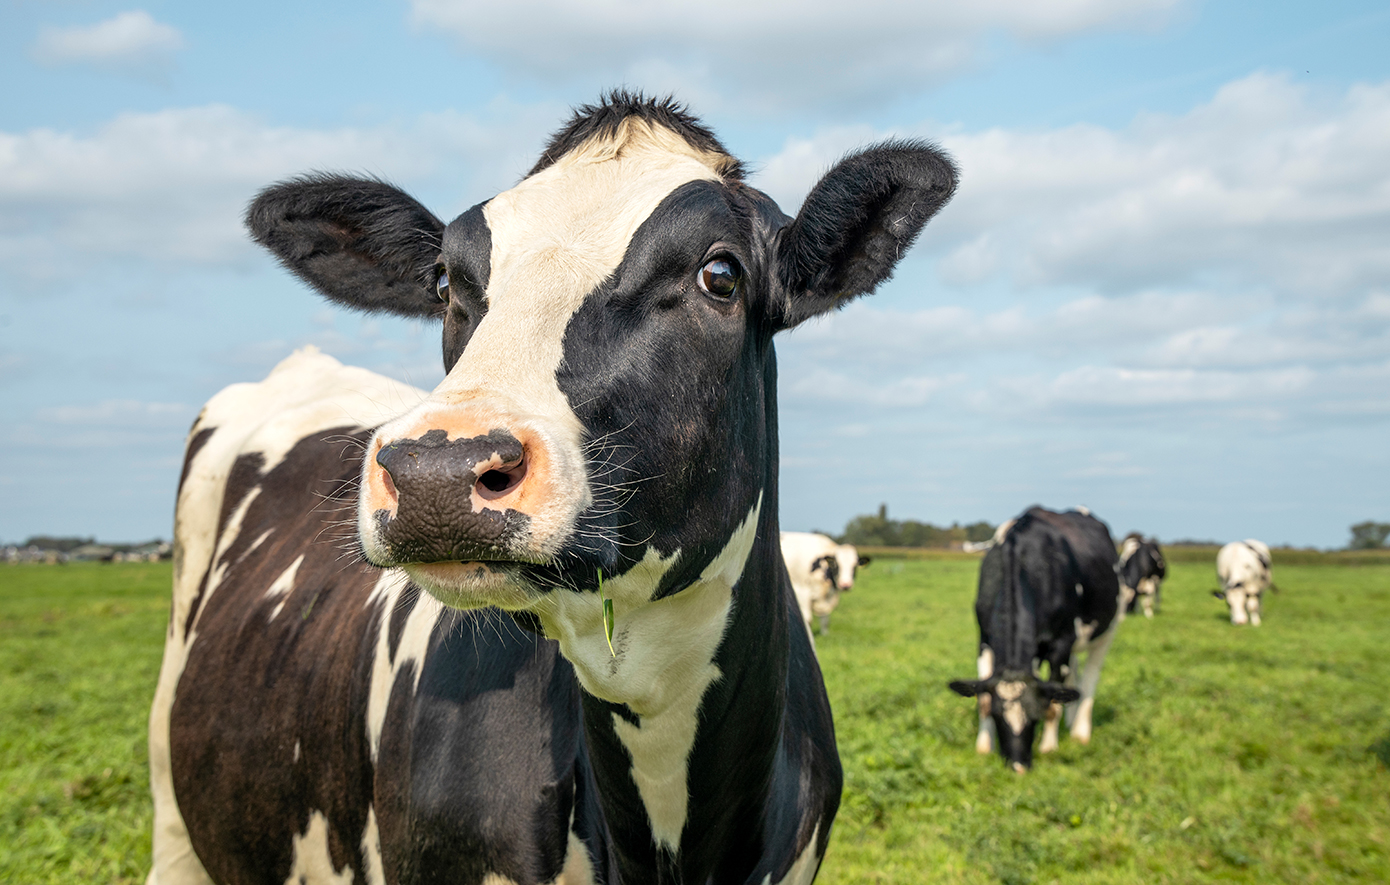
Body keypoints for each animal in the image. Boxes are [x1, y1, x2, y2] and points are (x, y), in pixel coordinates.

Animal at [950, 508, 1123, 772]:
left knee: (1090, 678)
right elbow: (982, 700)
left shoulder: (1061, 644)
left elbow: (1053, 702)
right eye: (997, 716)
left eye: (1035, 716)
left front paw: (1049, 748)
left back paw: (1080, 732)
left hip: (1107, 630)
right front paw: (984, 747)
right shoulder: (984, 640)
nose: (1018, 767)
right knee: (1073, 677)